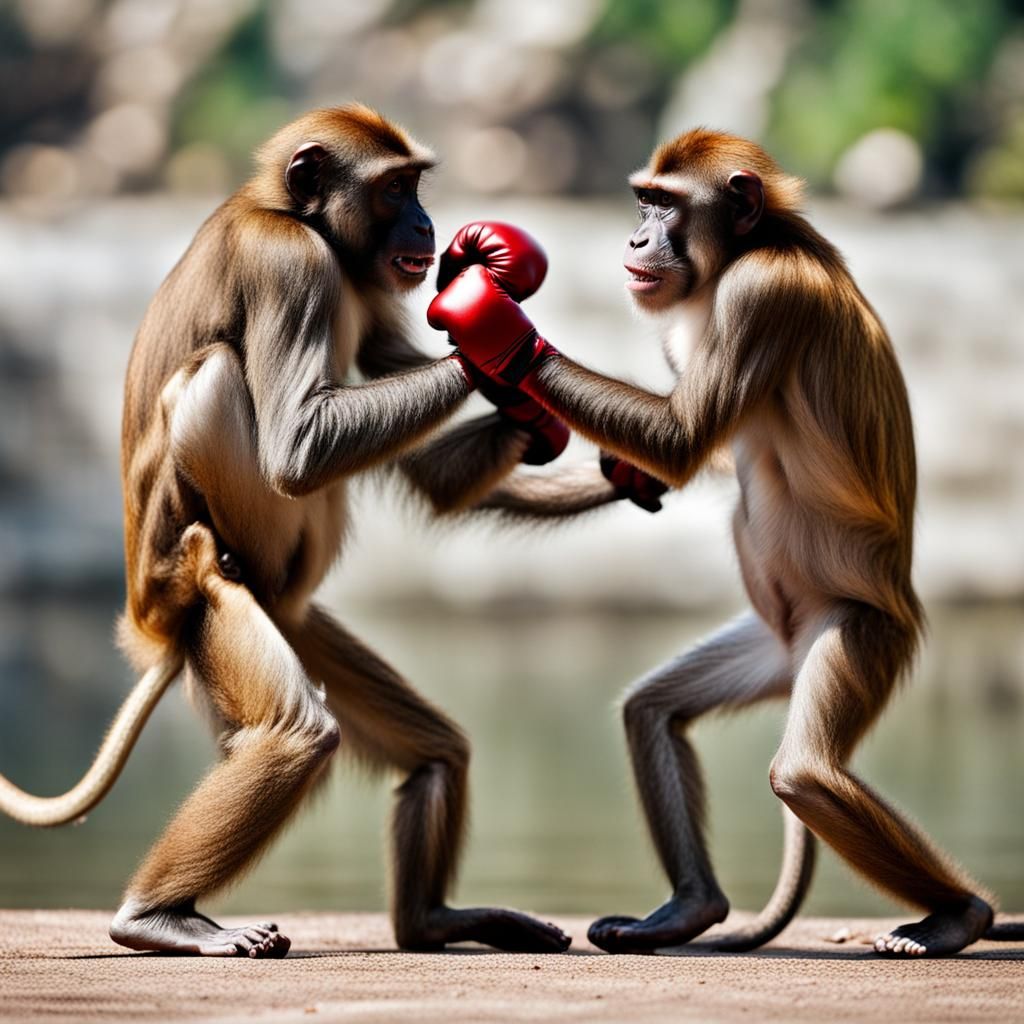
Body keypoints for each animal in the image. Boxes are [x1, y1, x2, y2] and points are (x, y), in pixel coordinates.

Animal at [0, 105, 612, 957]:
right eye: (396, 188)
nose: (428, 225)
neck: (300, 220)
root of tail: (152, 615)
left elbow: (420, 459)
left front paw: (596, 450)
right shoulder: (289, 264)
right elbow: (297, 449)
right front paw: (488, 324)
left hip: (290, 622)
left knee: (435, 751)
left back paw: (432, 921)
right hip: (209, 612)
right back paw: (156, 916)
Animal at [428, 129, 1024, 957]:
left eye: (665, 204)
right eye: (643, 200)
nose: (636, 237)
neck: (757, 245)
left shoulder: (759, 296)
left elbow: (681, 439)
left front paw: (492, 323)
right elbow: (684, 459)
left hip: (861, 632)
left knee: (806, 774)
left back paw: (959, 914)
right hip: (774, 649)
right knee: (651, 711)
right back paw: (690, 908)